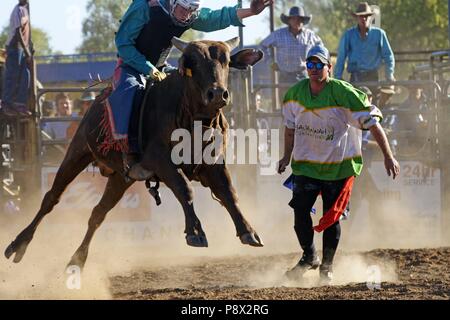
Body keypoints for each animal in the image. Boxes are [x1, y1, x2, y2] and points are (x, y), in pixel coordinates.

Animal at [4, 36, 264, 268]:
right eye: (194, 63)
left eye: (226, 62)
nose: (217, 94)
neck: (193, 118)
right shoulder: (160, 160)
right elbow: (185, 190)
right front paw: (195, 232)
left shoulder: (213, 163)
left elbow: (229, 192)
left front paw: (248, 231)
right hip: (77, 152)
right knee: (51, 198)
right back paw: (18, 245)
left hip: (121, 177)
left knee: (98, 213)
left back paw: (77, 260)